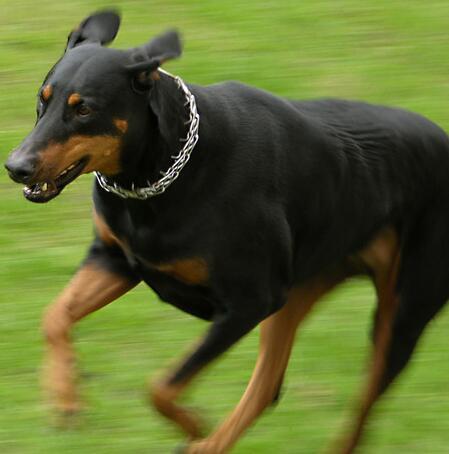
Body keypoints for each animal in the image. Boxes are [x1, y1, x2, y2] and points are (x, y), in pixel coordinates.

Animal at [6, 10, 448, 454]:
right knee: (268, 386)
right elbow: (54, 317)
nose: (15, 167)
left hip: (399, 314)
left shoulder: (248, 302)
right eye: (43, 98)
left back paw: (207, 443)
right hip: (298, 293)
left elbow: (161, 386)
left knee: (360, 409)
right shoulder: (115, 259)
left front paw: (194, 425)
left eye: (84, 109)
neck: (160, 174)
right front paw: (66, 399)